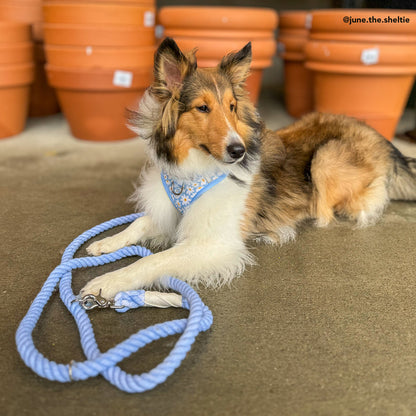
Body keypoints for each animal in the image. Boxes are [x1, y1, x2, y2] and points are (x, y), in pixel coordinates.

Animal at [79, 37, 414, 300]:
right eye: (202, 107)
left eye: (232, 107)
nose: (238, 151)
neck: (195, 169)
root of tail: (380, 137)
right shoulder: (171, 212)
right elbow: (139, 223)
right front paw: (106, 243)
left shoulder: (213, 242)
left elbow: (151, 262)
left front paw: (106, 282)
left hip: (325, 158)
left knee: (338, 209)